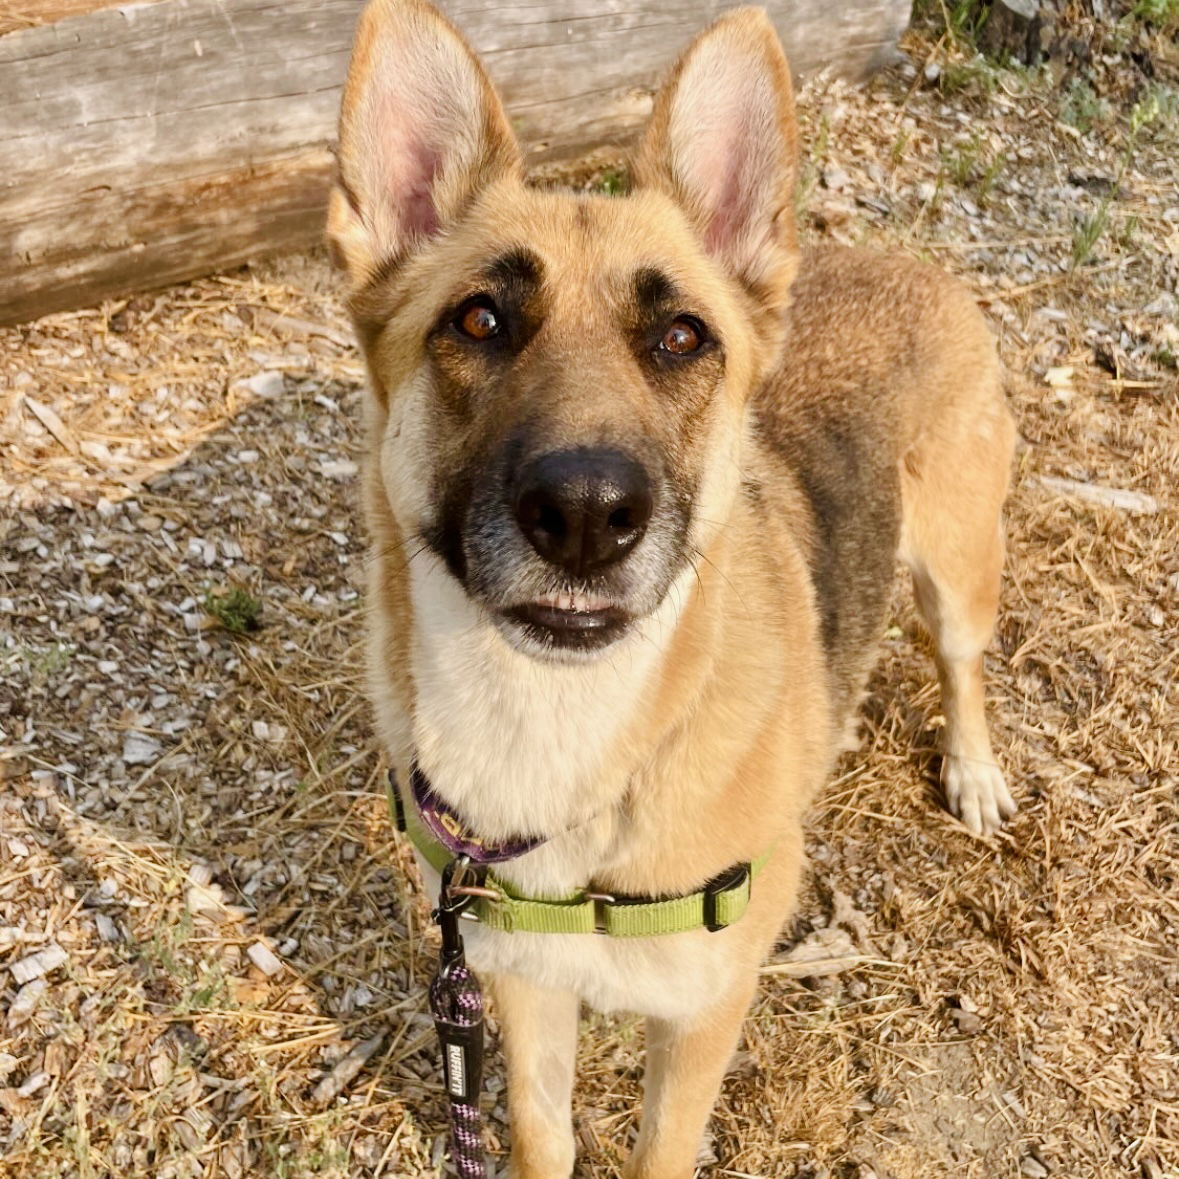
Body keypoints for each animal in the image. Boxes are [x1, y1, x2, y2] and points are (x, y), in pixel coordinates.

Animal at [327, 4, 1018, 1174]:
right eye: (478, 322)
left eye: (681, 337)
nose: (585, 514)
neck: (559, 737)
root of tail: (906, 260)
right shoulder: (518, 987)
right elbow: (540, 1132)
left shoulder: (700, 1022)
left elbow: (661, 1149)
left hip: (956, 571)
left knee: (963, 665)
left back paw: (970, 769)